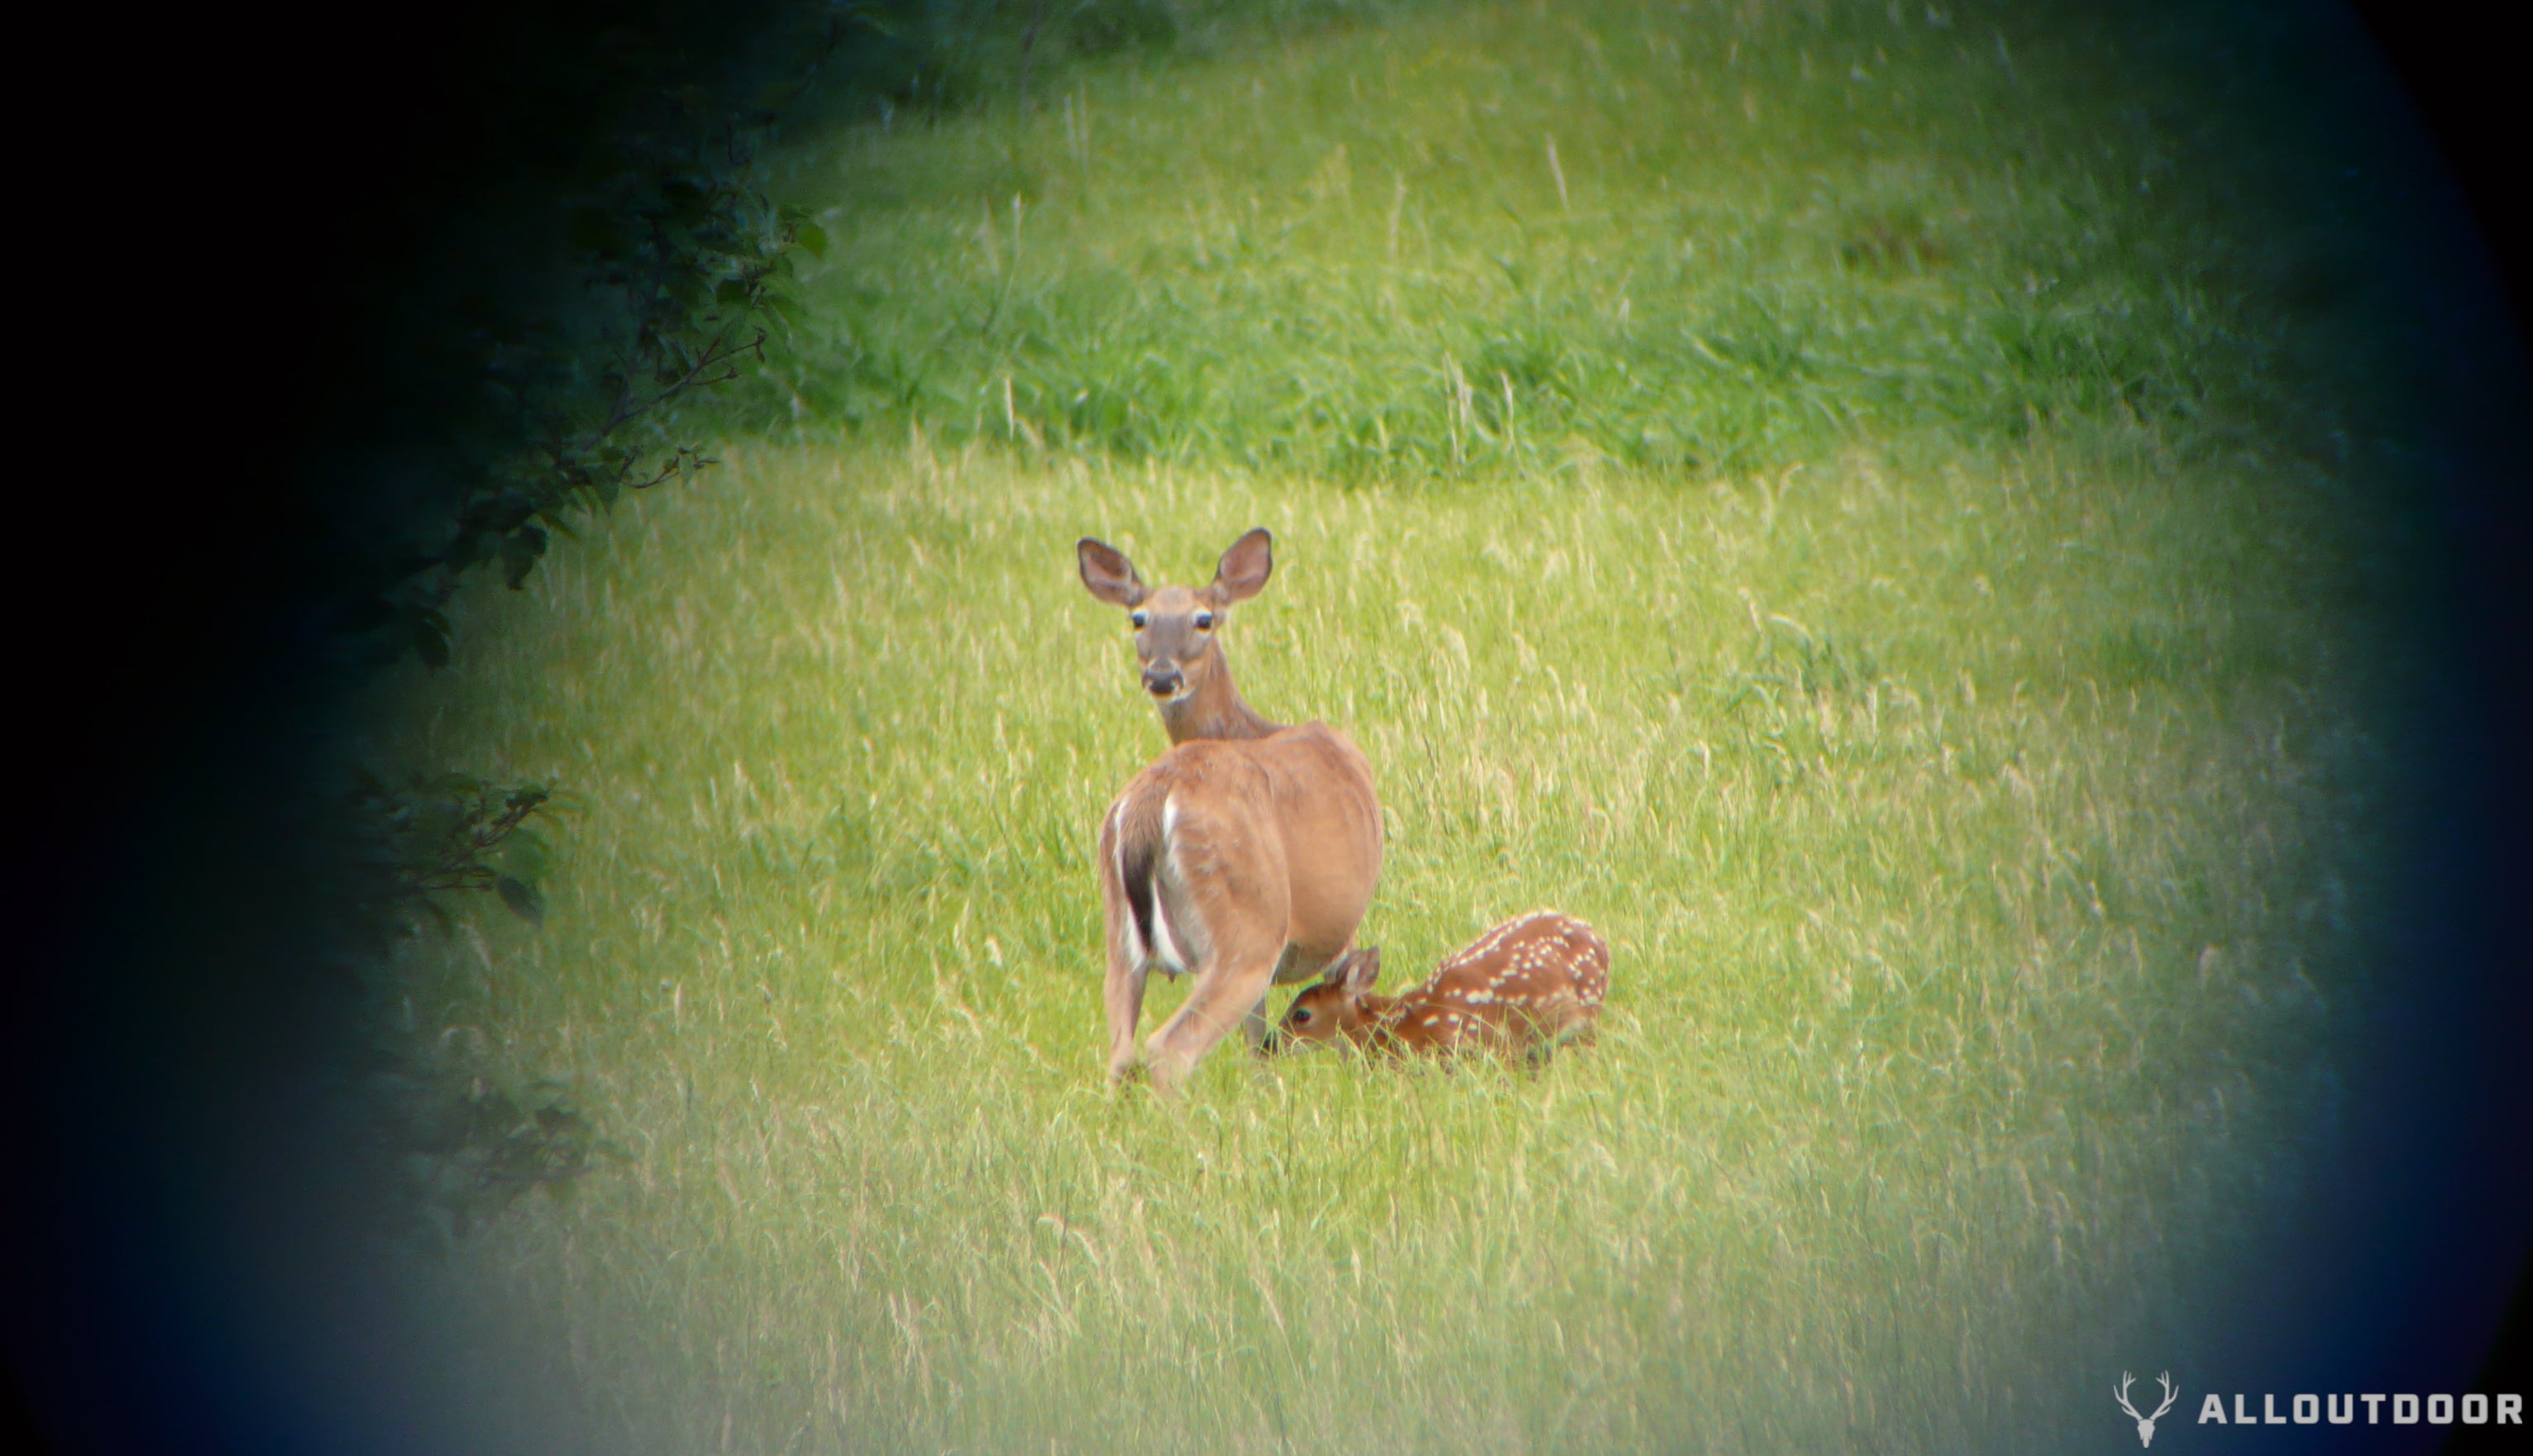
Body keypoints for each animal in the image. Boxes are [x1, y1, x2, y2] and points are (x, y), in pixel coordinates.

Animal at [1073, 527, 1378, 1094]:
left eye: (1203, 619)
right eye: (1138, 618)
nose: (1162, 676)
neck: (1255, 728)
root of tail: (1152, 800)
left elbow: (1257, 1043)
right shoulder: (1340, 925)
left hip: (1119, 933)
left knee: (1120, 1051)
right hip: (1247, 922)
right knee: (1169, 1049)